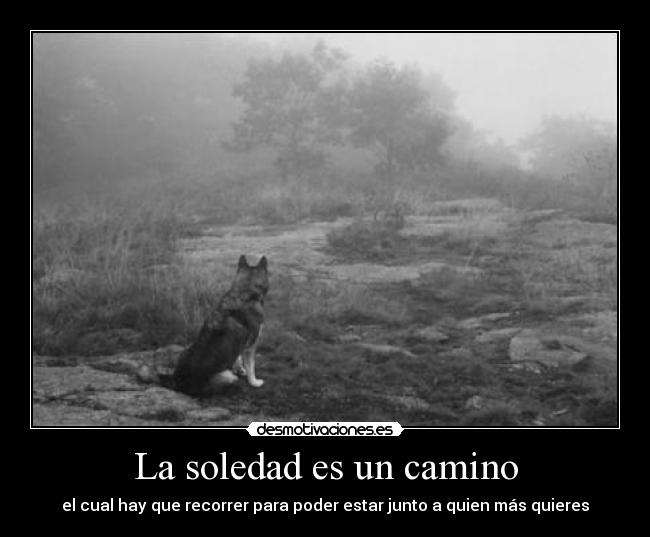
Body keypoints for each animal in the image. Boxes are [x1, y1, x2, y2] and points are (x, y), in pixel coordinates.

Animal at [172, 255, 269, 397]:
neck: (244, 291)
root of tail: (182, 385)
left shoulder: (240, 344)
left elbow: (237, 358)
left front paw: (240, 370)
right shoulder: (251, 345)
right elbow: (251, 367)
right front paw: (254, 382)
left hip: (184, 351)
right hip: (227, 376)